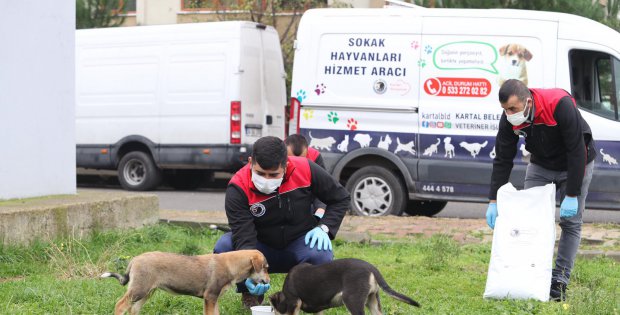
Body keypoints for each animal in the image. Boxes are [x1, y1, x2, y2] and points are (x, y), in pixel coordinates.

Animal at [100, 251, 268, 314]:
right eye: (266, 268)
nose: (268, 281)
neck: (230, 264)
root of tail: (135, 259)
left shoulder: (214, 299)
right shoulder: (210, 297)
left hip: (146, 291)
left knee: (133, 308)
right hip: (139, 289)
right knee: (120, 305)